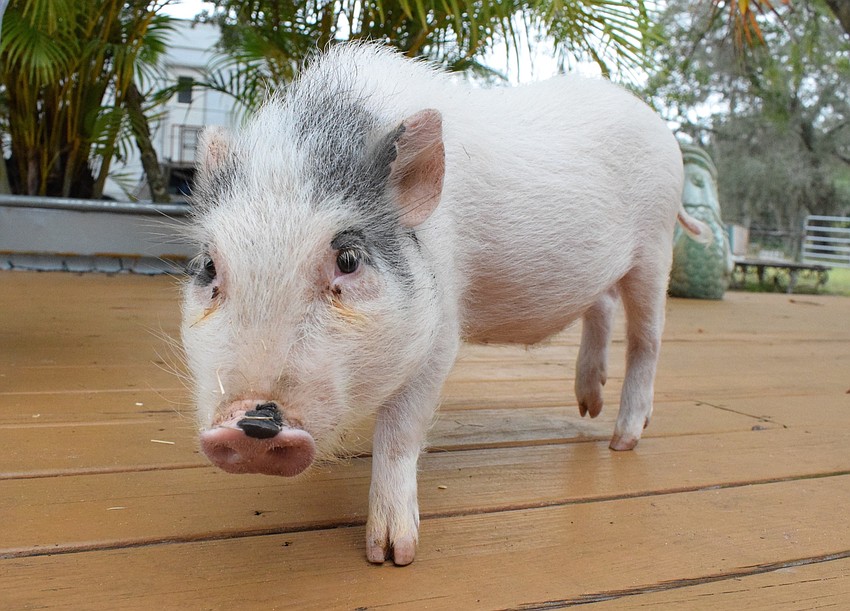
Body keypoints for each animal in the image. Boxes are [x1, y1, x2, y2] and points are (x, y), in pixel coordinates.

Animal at [181, 42, 710, 566]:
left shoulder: (439, 331)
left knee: (647, 339)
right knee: (601, 305)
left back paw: (622, 442)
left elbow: (400, 432)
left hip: (656, 245)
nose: (249, 419)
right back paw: (587, 407)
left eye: (348, 260)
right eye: (208, 267)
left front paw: (391, 555)